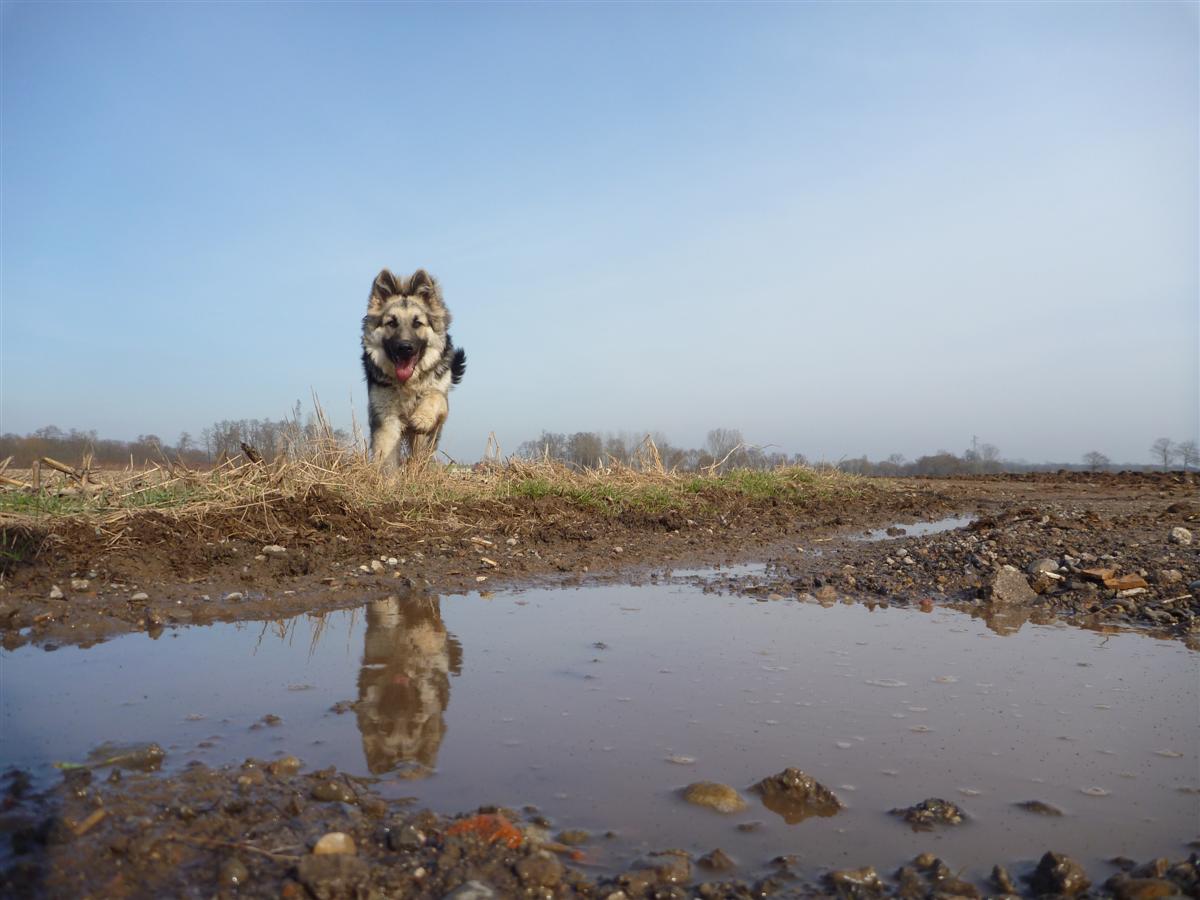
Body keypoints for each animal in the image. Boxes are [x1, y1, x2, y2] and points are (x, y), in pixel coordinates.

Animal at [360, 266, 463, 465]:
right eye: (392, 323)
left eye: (417, 323)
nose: (405, 348)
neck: (408, 384)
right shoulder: (385, 416)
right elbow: (386, 453)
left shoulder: (441, 398)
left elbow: (434, 395)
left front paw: (422, 417)